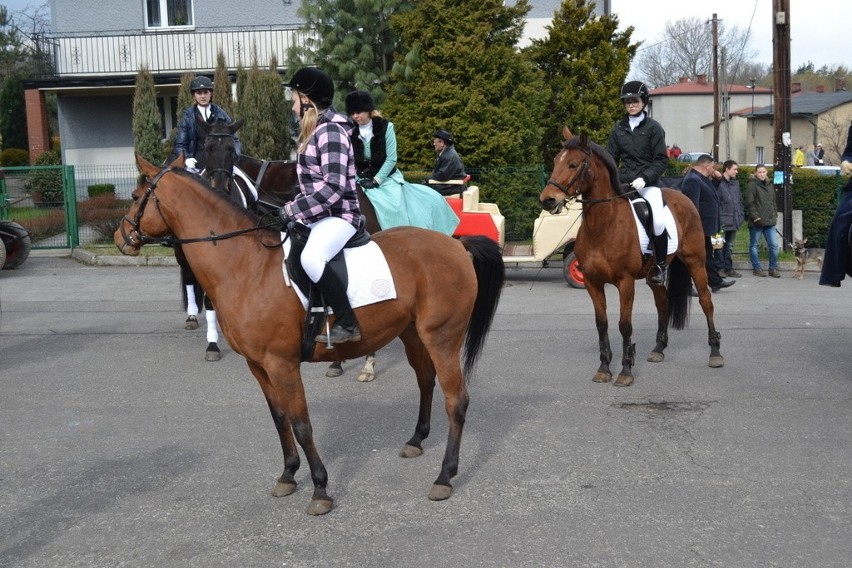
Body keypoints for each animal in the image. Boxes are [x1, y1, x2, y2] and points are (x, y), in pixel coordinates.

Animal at [114, 154, 506, 516]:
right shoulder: (258, 365)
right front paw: (288, 475)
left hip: (442, 338)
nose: (120, 237)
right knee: (426, 380)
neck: (245, 264)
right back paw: (416, 440)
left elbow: (302, 424)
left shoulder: (282, 364)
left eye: (135, 196)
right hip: (412, 334)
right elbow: (280, 418)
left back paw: (445, 477)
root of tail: (456, 245)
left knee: (456, 400)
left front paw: (320, 489)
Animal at [540, 129, 720, 386]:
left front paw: (625, 371)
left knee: (706, 302)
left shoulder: (625, 283)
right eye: (556, 162)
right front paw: (604, 368)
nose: (547, 200)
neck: (603, 226)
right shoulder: (592, 282)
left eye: (573, 164)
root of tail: (683, 198)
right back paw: (658, 349)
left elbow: (625, 325)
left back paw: (715, 353)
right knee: (663, 303)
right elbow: (602, 324)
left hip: (696, 262)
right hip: (654, 275)